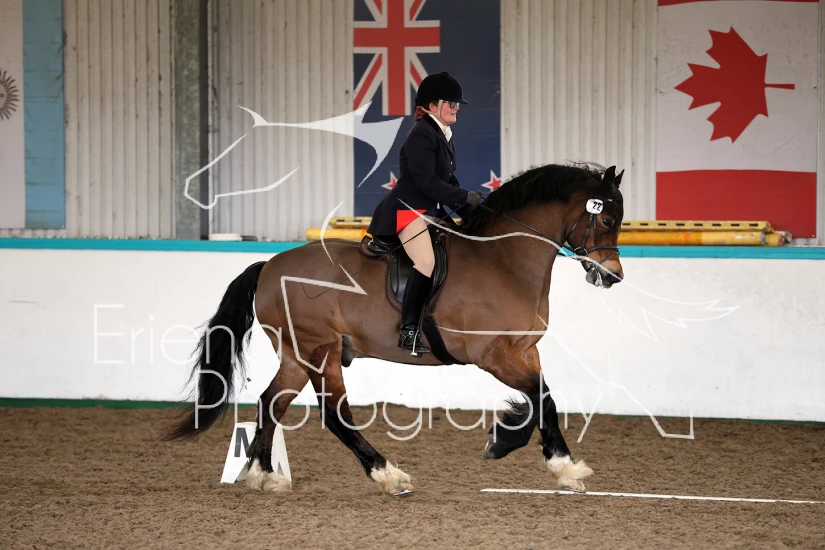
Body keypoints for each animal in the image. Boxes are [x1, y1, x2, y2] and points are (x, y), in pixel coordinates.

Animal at [166, 162, 625, 496]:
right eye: (605, 220)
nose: (612, 277)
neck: (504, 261)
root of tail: (269, 267)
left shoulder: (525, 350)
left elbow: (541, 398)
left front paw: (512, 444)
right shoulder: (491, 355)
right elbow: (541, 395)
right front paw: (560, 464)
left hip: (298, 355)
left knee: (270, 403)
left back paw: (265, 476)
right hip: (320, 350)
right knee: (335, 414)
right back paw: (388, 476)